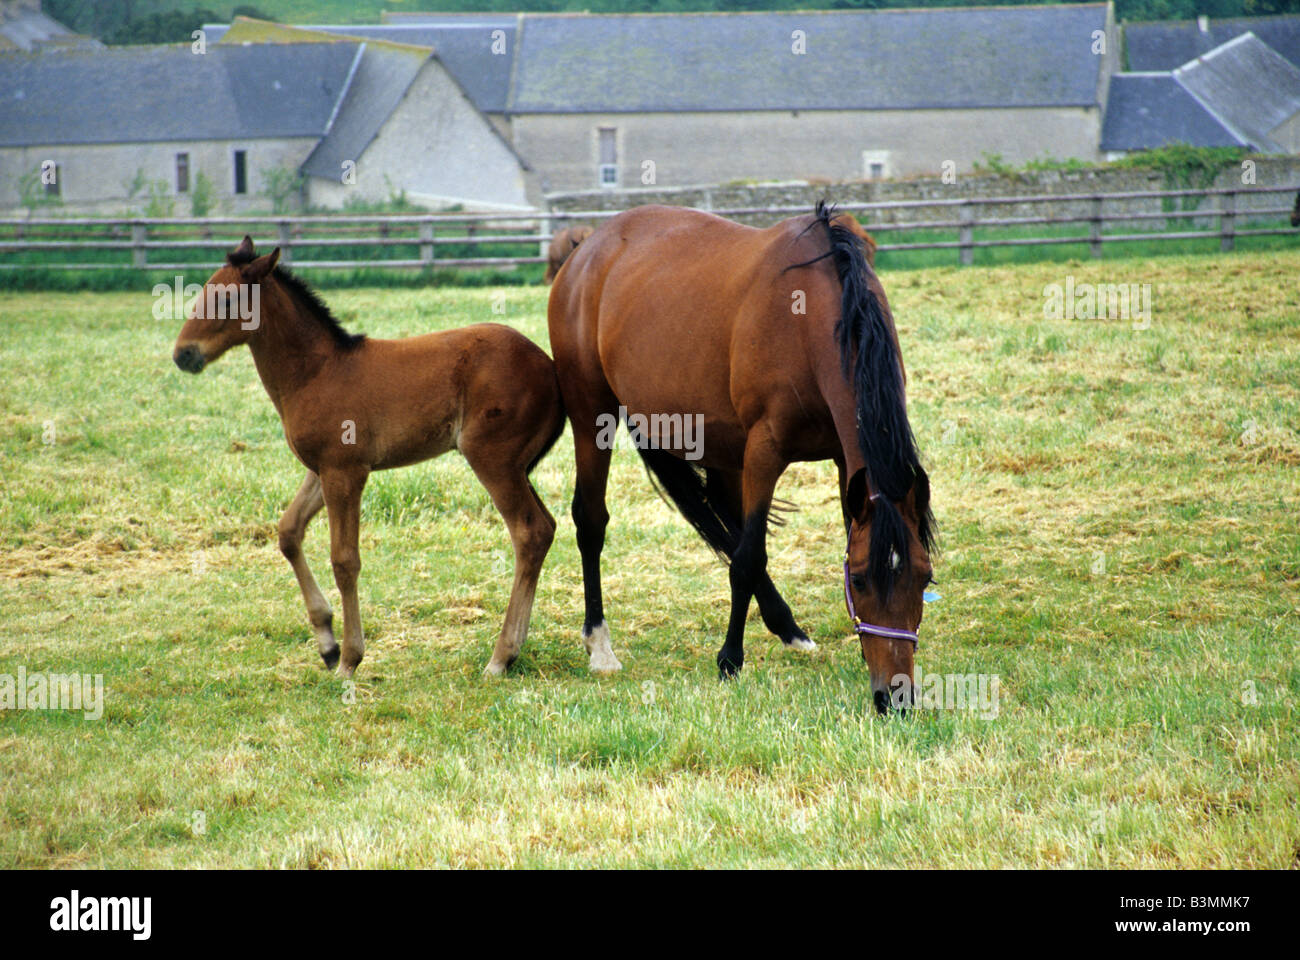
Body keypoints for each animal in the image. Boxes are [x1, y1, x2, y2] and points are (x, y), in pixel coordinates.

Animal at [172, 237, 565, 678]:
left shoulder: (346, 473)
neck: (316, 372)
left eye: (226, 300)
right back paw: (513, 651)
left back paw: (500, 657)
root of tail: (550, 368)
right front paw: (327, 643)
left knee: (529, 532)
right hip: (517, 466)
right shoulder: (321, 470)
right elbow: (289, 532)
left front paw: (349, 659)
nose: (183, 354)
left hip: (492, 460)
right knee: (546, 527)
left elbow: (345, 560)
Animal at [547, 202, 933, 712]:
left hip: (714, 443)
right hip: (592, 415)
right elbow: (748, 556)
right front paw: (730, 659)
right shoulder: (764, 451)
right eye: (861, 580)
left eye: (925, 579)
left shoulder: (842, 461)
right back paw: (600, 645)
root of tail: (585, 250)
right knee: (592, 521)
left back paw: (789, 629)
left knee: (722, 517)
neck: (808, 317)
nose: (896, 697)